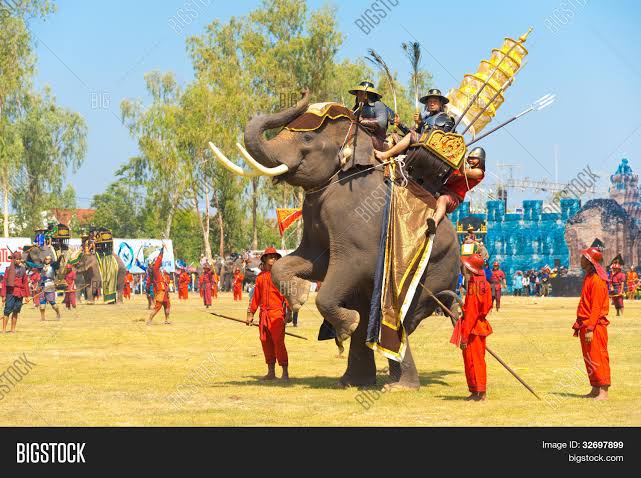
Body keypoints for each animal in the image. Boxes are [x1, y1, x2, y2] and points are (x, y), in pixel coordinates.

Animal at [210, 91, 460, 390]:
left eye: (307, 138)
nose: (304, 93)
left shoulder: (356, 217)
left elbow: (351, 265)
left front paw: (345, 325)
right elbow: (310, 261)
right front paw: (298, 298)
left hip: (435, 272)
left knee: (401, 318)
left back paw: (398, 386)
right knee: (372, 314)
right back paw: (355, 381)